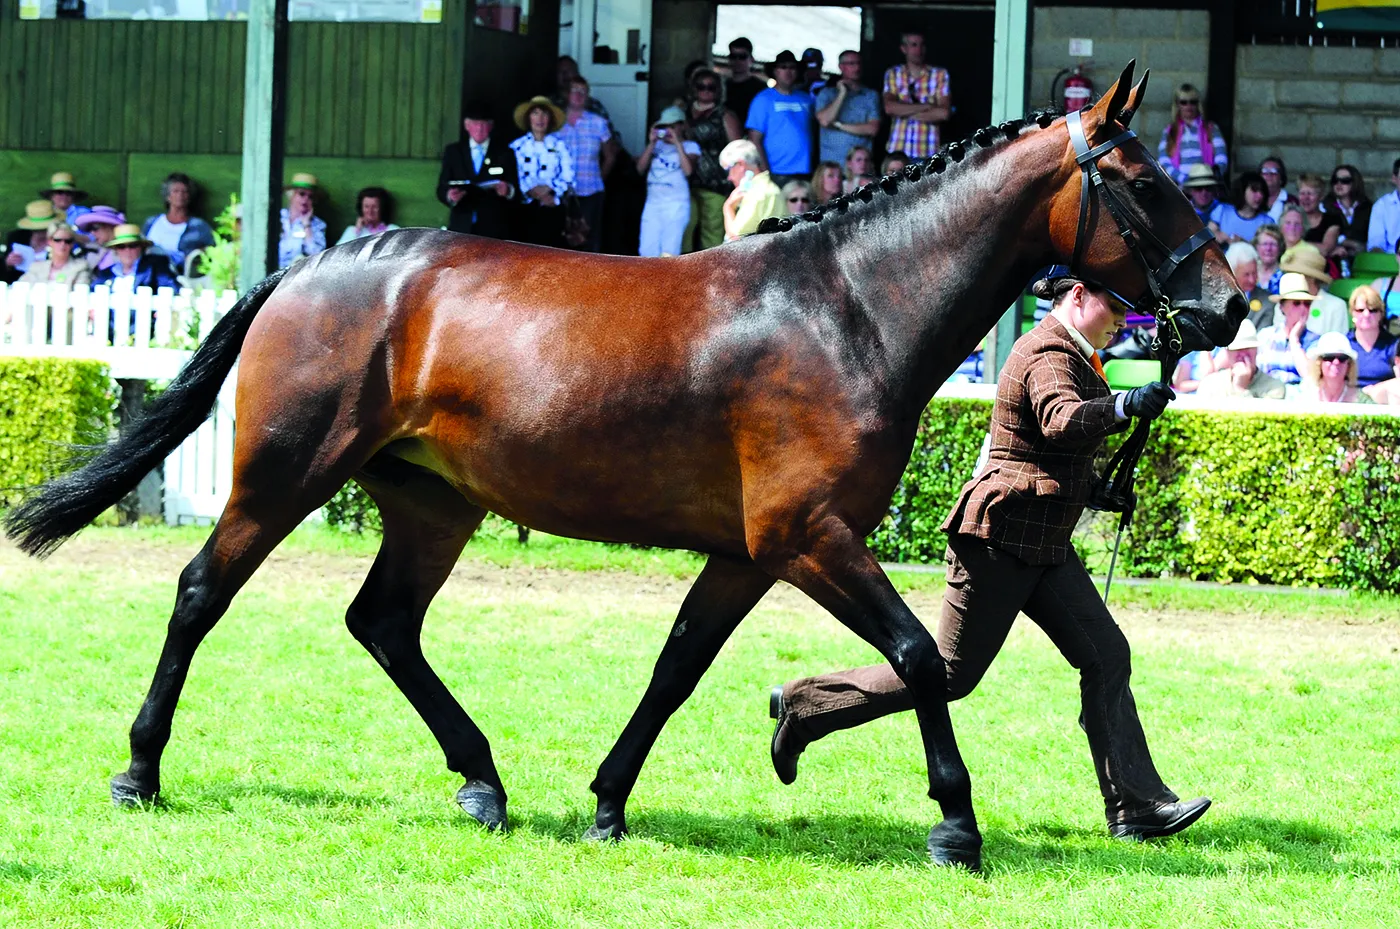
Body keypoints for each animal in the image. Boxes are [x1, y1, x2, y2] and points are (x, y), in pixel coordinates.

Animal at [5, 63, 1244, 871]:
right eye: (1141, 181)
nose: (1225, 305)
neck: (844, 306)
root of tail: (316, 263)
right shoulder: (807, 535)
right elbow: (915, 656)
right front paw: (953, 823)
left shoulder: (751, 551)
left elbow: (677, 663)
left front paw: (608, 799)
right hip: (282, 474)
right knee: (202, 592)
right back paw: (139, 770)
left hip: (431, 502)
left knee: (385, 622)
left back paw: (483, 778)